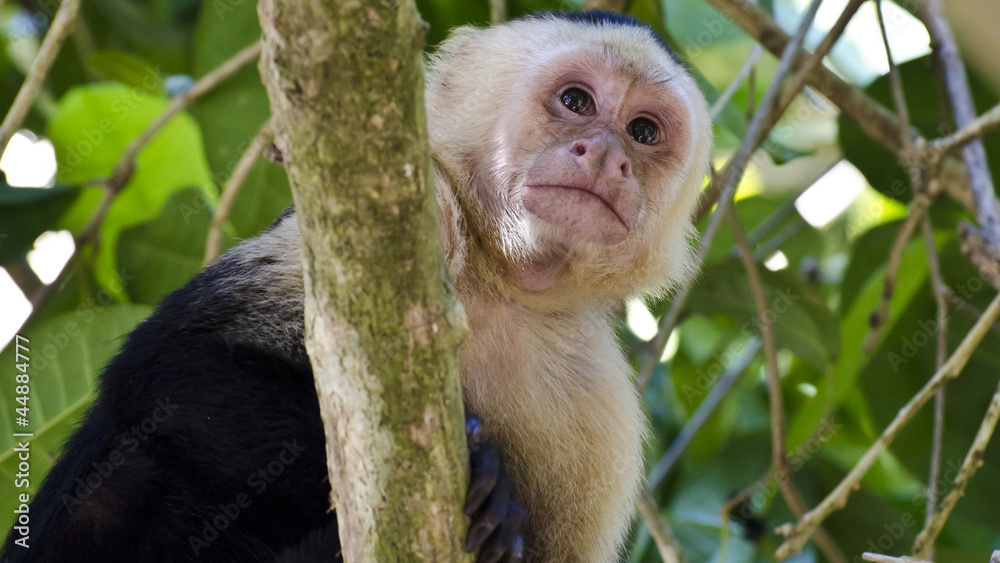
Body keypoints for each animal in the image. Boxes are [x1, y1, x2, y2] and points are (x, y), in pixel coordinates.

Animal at [1, 10, 711, 563]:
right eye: (576, 102)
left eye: (644, 132)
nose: (608, 156)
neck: (502, 282)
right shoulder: (423, 211)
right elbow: (173, 370)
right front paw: (488, 479)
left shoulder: (601, 411)